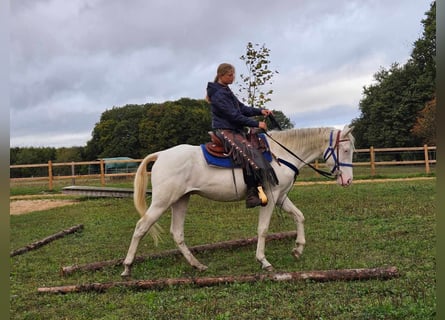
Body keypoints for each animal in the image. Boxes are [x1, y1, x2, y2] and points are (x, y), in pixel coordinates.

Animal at [120, 125, 354, 278]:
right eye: (345, 150)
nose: (348, 180)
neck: (281, 154)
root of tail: (160, 155)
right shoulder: (270, 197)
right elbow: (263, 229)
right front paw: (264, 261)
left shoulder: (281, 197)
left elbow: (299, 216)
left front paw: (298, 249)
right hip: (162, 201)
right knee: (141, 227)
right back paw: (127, 267)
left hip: (181, 200)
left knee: (177, 233)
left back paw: (198, 265)